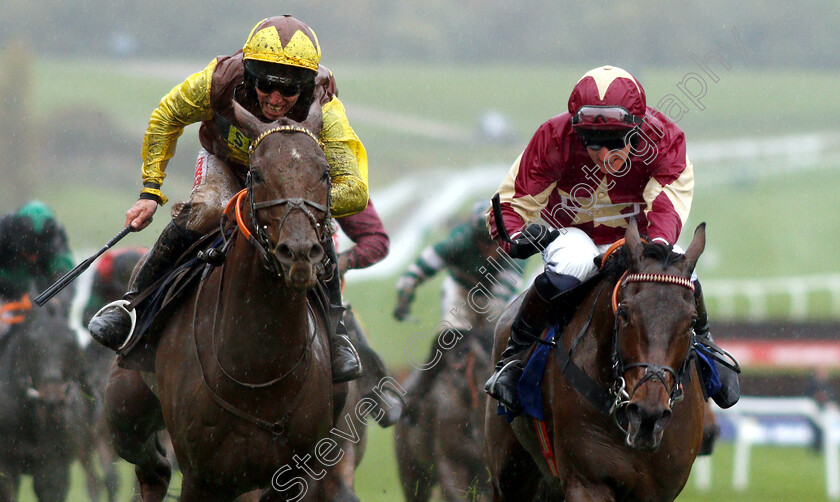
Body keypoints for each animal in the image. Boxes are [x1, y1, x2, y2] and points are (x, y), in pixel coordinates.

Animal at [105, 103, 342, 502]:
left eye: (325, 172)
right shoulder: (202, 477)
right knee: (152, 467)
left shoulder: (292, 476)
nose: (298, 253)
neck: (258, 373)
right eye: (256, 174)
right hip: (124, 410)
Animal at [486, 221, 708, 502]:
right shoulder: (587, 482)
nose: (649, 414)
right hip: (509, 472)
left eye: (691, 321)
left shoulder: (658, 491)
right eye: (624, 313)